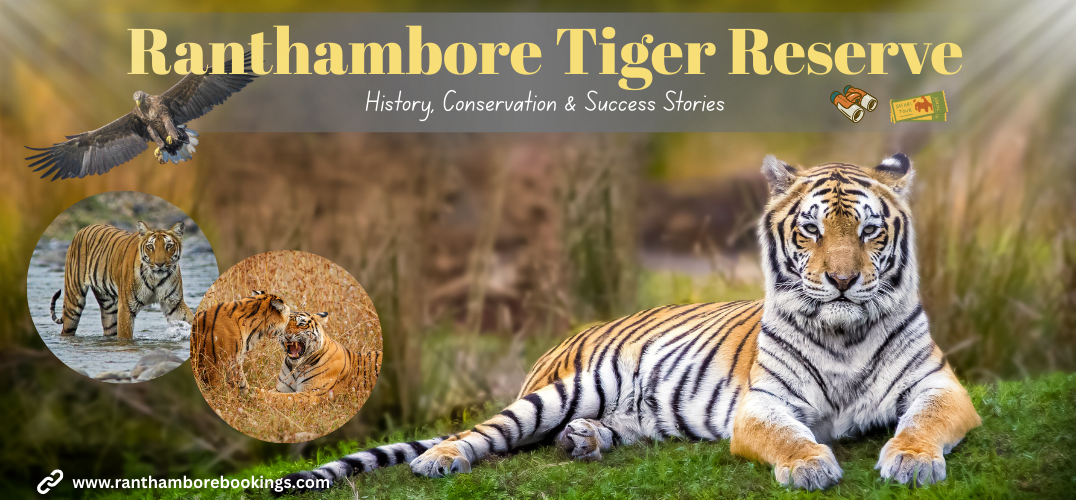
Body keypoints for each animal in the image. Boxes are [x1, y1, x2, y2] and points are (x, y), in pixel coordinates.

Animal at [50, 221, 193, 339]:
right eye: (150, 247)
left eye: (168, 246)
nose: (159, 264)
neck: (155, 278)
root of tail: (82, 229)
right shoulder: (126, 307)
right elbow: (125, 336)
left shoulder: (174, 303)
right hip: (73, 302)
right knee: (67, 328)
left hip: (108, 307)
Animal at [276, 153, 981, 494]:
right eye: (811, 231)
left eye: (868, 231)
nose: (840, 280)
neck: (844, 332)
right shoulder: (763, 404)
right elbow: (787, 435)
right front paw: (810, 466)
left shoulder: (941, 386)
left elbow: (924, 422)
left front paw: (911, 462)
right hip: (560, 391)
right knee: (487, 433)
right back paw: (441, 460)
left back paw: (585, 441)